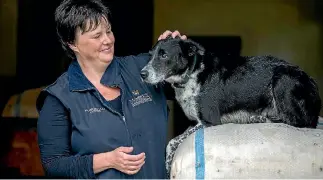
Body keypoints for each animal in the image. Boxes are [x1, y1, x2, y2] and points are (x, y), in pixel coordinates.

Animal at [140, 35, 322, 176]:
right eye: (150, 56)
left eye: (164, 55)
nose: (142, 74)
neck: (192, 73)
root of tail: (313, 83)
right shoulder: (196, 121)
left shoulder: (209, 121)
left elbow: (172, 141)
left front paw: (167, 164)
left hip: (283, 79)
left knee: (299, 123)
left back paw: (257, 118)